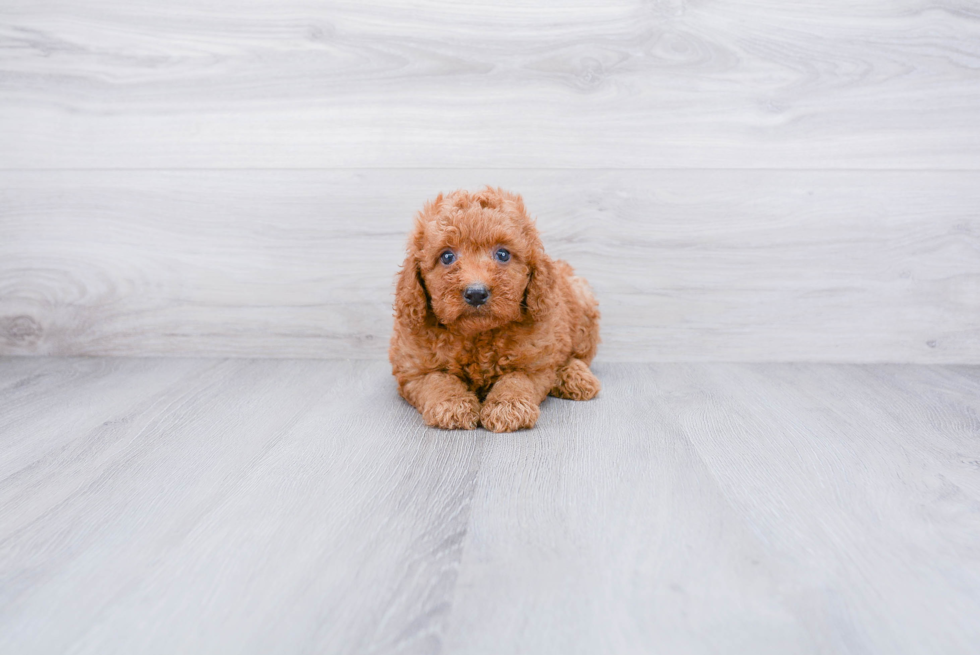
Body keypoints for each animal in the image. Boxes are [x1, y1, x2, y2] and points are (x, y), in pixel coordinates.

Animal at [388, 187, 600, 434]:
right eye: (447, 256)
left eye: (503, 254)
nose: (476, 293)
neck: (478, 335)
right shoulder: (413, 370)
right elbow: (437, 380)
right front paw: (452, 404)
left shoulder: (535, 364)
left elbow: (517, 379)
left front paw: (508, 407)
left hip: (583, 306)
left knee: (578, 357)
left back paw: (574, 376)